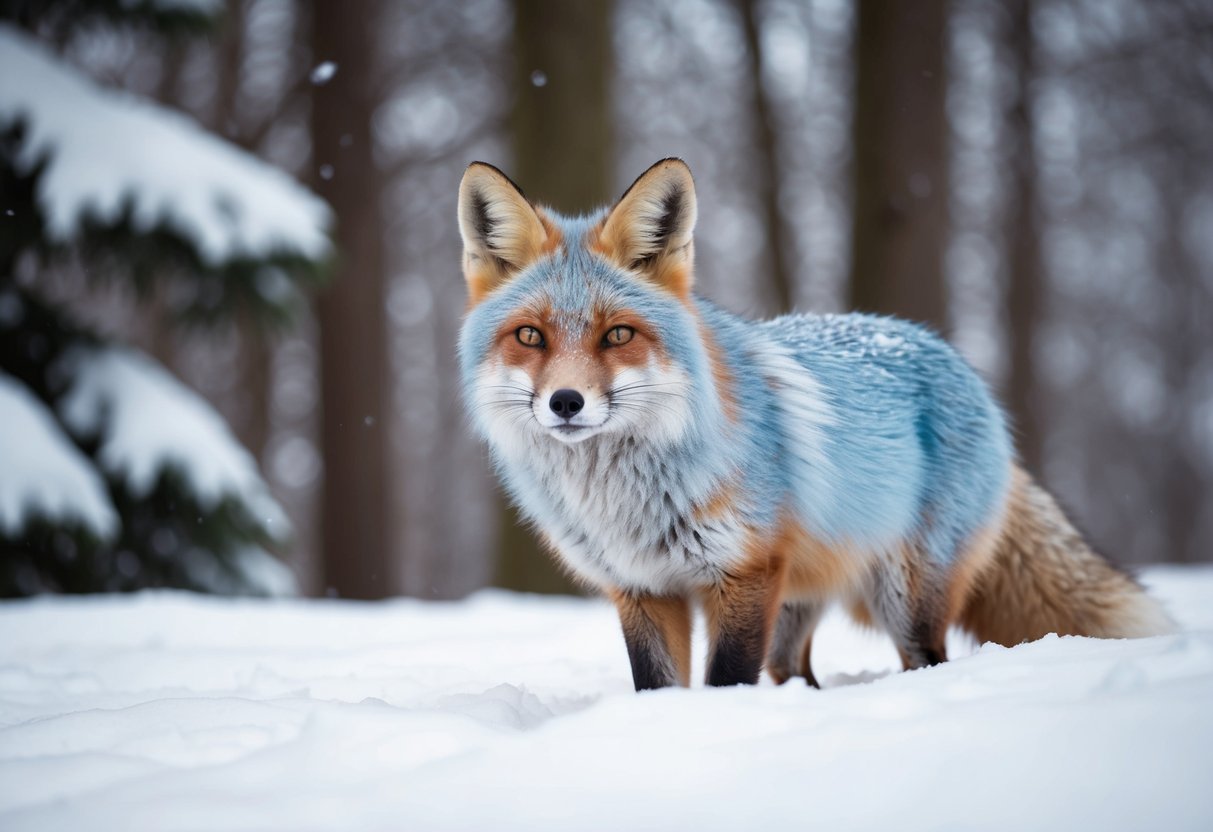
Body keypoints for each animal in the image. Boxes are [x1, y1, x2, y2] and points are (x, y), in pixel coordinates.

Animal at [456, 157, 1173, 691]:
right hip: (798, 606)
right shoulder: (642, 589)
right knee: (796, 674)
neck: (624, 499)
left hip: (905, 599)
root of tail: (948, 353)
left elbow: (724, 683)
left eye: (617, 335)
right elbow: (658, 687)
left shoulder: (742, 576)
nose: (566, 402)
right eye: (530, 336)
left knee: (924, 662)